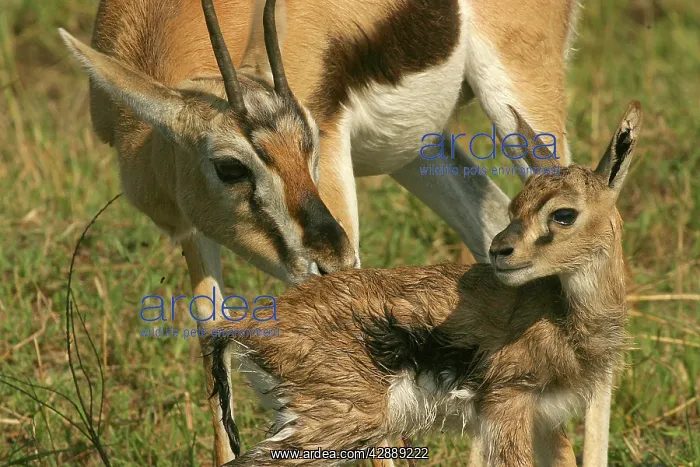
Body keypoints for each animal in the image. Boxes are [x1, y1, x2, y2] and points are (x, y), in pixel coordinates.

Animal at [208, 101, 642, 466]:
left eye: (563, 213)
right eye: (516, 206)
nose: (500, 251)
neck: (564, 319)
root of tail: (246, 327)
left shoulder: (546, 420)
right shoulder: (509, 405)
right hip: (333, 425)